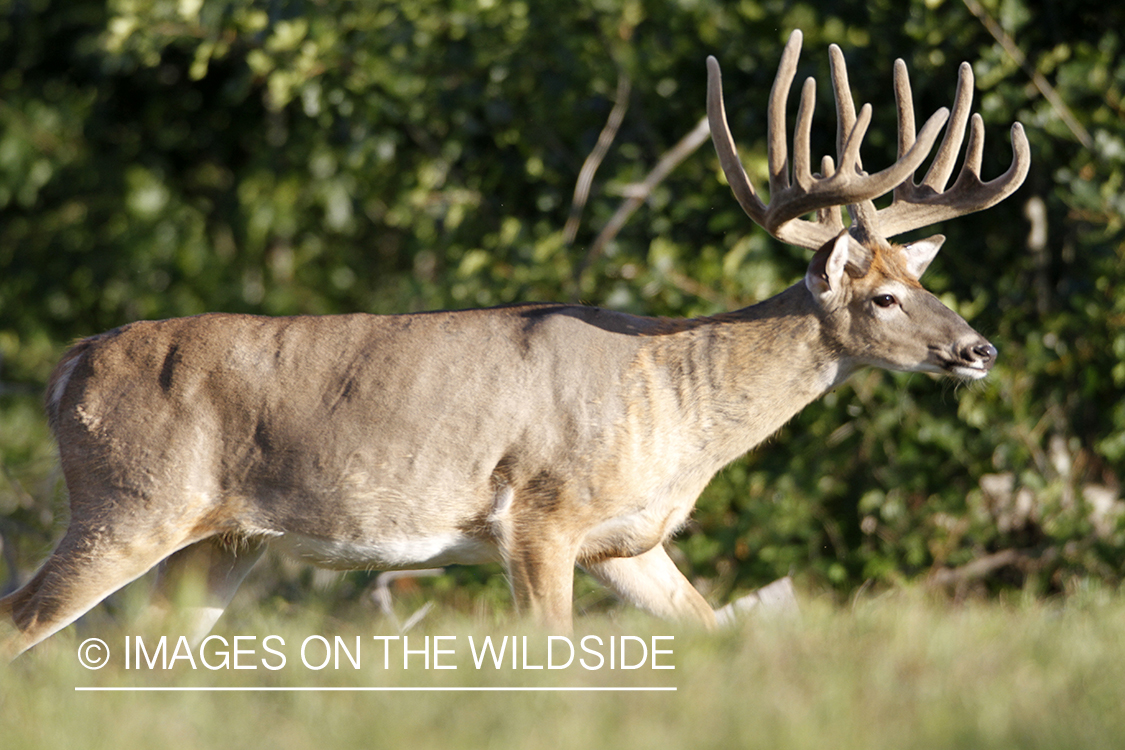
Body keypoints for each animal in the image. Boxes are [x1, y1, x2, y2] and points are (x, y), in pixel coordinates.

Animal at [0, 30, 1030, 656]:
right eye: (886, 297)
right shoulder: (539, 512)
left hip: (220, 539)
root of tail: (66, 366)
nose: (979, 350)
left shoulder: (626, 541)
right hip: (129, 502)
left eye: (926, 283)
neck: (675, 402)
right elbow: (553, 659)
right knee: (22, 623)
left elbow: (709, 627)